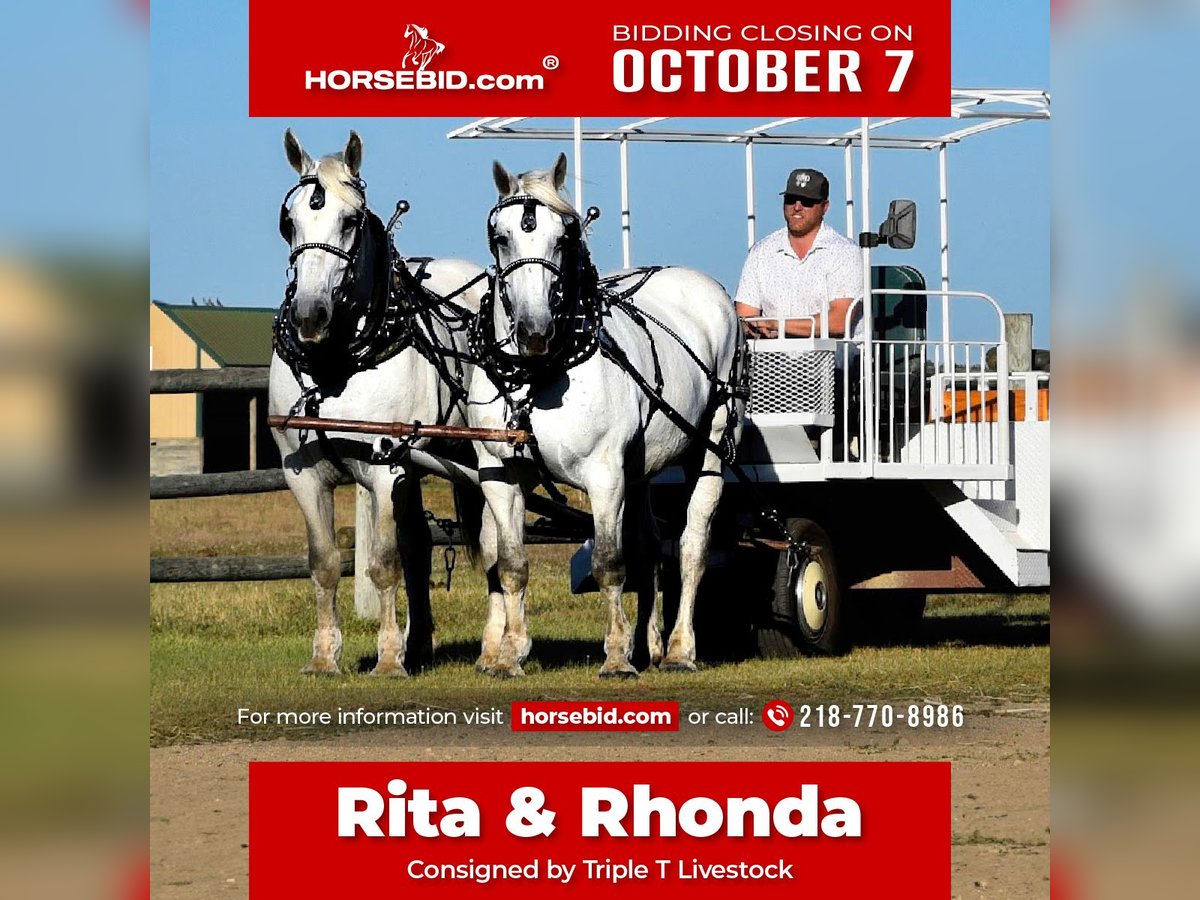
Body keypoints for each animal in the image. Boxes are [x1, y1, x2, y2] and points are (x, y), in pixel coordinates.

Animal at [270, 130, 484, 681]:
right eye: (288, 222)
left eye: (350, 220)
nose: (310, 315)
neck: (335, 364)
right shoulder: (302, 474)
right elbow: (325, 562)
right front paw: (324, 657)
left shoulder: (386, 469)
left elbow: (384, 562)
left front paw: (388, 658)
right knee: (420, 546)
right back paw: (421, 643)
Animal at [465, 153, 739, 676]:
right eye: (501, 236)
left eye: (564, 237)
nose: (534, 331)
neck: (538, 373)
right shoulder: (499, 472)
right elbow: (510, 565)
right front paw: (510, 653)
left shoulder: (604, 472)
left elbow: (610, 562)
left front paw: (615, 655)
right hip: (642, 466)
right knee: (651, 548)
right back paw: (651, 645)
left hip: (710, 445)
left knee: (691, 548)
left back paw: (680, 649)